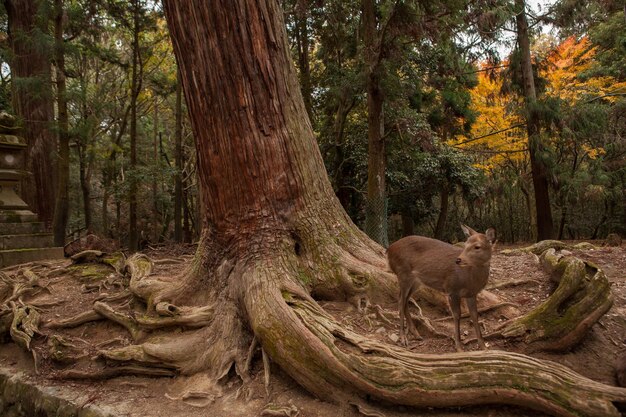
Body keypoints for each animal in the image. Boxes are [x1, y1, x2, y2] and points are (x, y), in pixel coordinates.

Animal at [386, 224, 492, 352]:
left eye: (477, 246)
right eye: (465, 244)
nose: (458, 260)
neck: (471, 279)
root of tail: (389, 249)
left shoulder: (472, 294)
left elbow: (475, 316)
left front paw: (483, 347)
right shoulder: (452, 289)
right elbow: (457, 315)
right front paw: (459, 347)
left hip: (416, 281)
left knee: (405, 300)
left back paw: (416, 334)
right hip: (403, 273)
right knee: (401, 300)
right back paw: (403, 338)